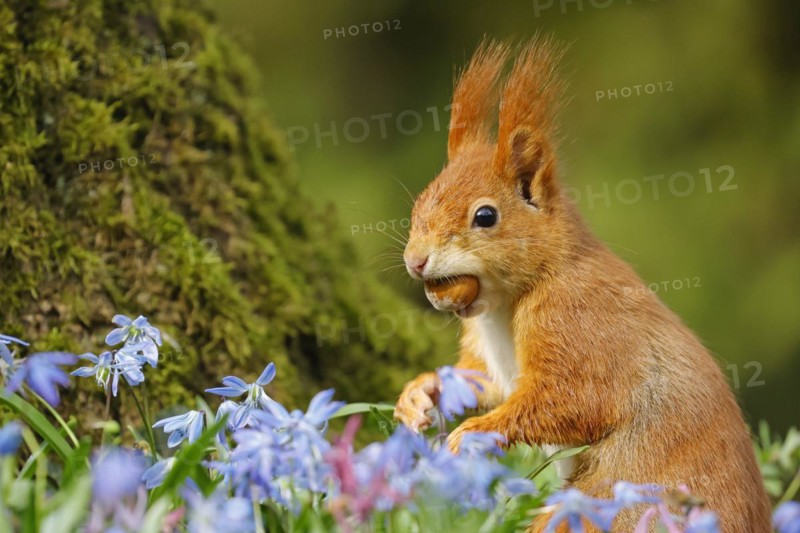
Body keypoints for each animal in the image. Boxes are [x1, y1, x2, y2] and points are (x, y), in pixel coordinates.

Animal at [394, 38, 772, 532]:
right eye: (421, 201)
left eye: (485, 216)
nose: (415, 261)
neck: (505, 304)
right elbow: (480, 379)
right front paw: (418, 394)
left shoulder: (577, 323)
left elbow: (572, 400)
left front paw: (472, 433)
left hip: (608, 504)